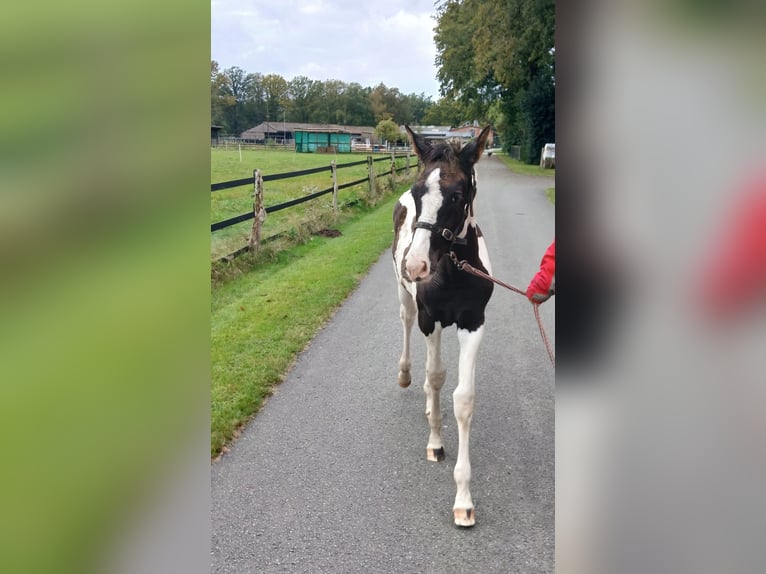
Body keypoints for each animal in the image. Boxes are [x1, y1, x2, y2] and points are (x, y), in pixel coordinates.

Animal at [392, 125, 496, 528]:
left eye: (457, 195)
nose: (416, 265)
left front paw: (464, 500)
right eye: (418, 191)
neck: (452, 270)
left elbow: (463, 398)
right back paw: (407, 375)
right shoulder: (430, 318)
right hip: (407, 301)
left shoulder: (473, 324)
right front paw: (435, 442)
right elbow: (436, 377)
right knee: (407, 326)